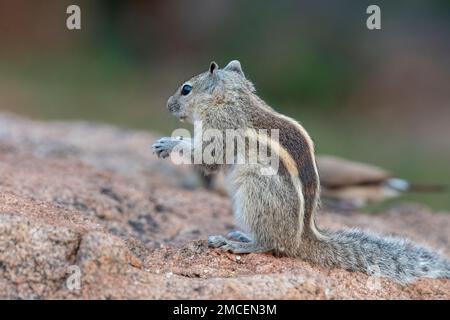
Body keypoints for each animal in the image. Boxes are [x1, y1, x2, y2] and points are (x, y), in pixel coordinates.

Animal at [152, 60, 450, 282]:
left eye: (186, 89)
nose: (167, 104)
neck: (232, 99)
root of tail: (302, 238)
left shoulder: (221, 129)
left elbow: (208, 157)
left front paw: (169, 143)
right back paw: (242, 235)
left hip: (254, 191)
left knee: (271, 244)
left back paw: (239, 244)